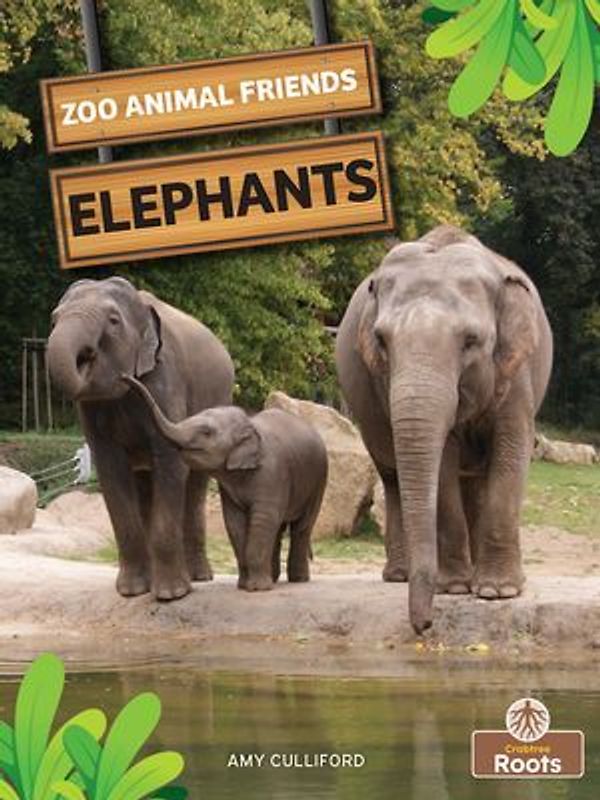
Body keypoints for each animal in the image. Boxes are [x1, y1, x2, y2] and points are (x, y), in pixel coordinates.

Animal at [47, 277, 234, 600]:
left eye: (113, 321)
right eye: (54, 319)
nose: (126, 377)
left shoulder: (165, 379)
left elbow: (171, 462)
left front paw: (171, 595)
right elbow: (111, 470)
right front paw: (132, 592)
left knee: (195, 485)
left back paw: (198, 578)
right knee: (146, 484)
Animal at [123, 376, 328, 591]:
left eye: (206, 432)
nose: (125, 377)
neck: (249, 424)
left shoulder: (273, 474)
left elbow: (263, 519)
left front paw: (256, 589)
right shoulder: (229, 487)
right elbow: (234, 522)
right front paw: (244, 586)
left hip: (319, 480)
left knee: (302, 527)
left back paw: (298, 579)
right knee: (279, 529)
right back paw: (273, 577)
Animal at [335, 225, 553, 633]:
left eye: (471, 341)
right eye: (382, 340)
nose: (424, 626)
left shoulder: (516, 370)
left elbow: (510, 449)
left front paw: (497, 593)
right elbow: (443, 463)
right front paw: (453, 588)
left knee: (476, 480)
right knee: (392, 477)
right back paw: (401, 576)